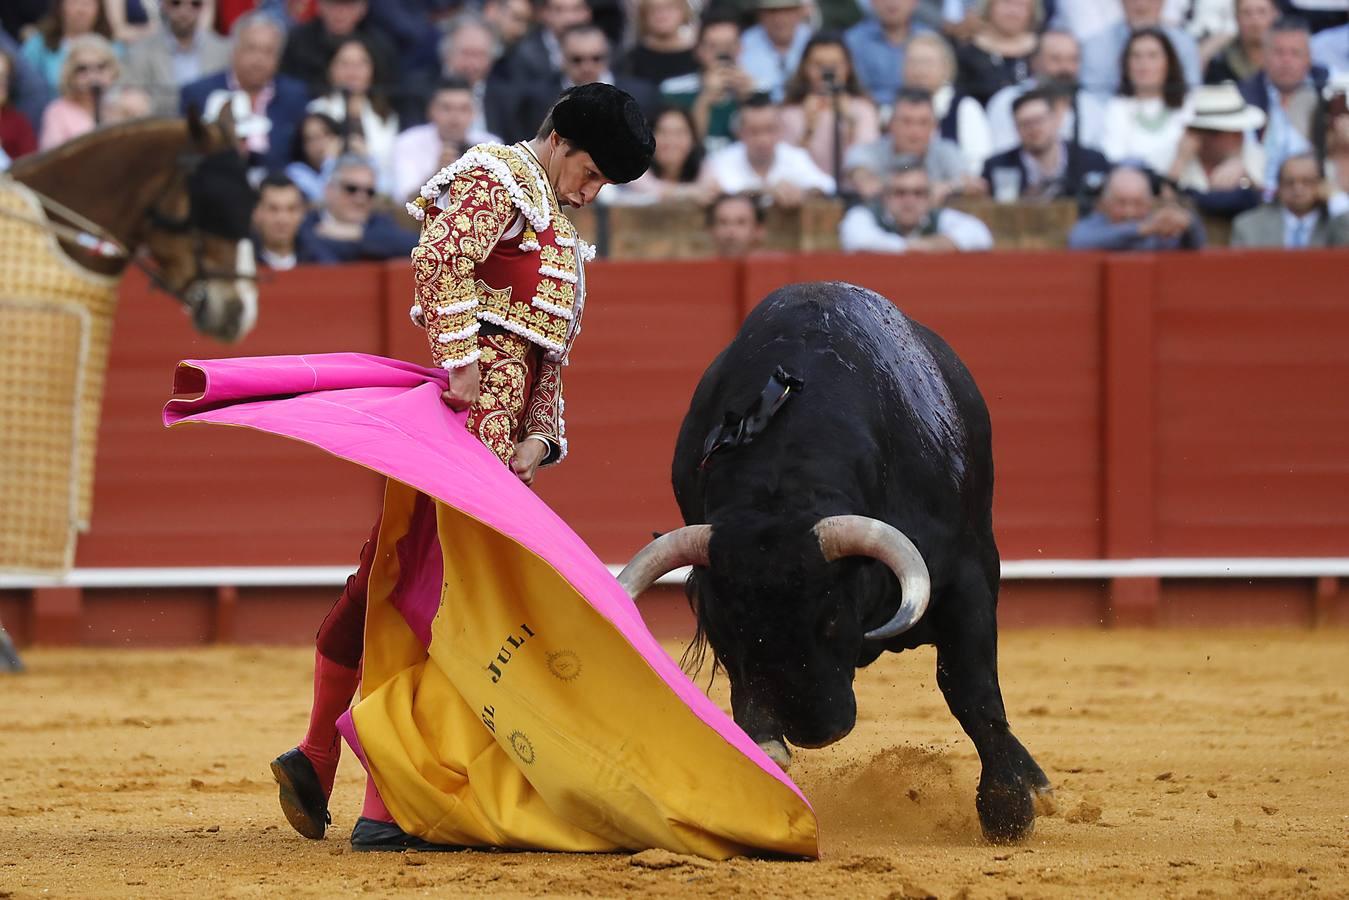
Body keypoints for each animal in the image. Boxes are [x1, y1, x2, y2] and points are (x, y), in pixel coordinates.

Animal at [617, 283, 1052, 847]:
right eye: (732, 628)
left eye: (829, 618)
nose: (814, 731)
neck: (783, 487)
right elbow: (749, 700)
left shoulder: (966, 578)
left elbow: (971, 688)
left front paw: (1007, 810)